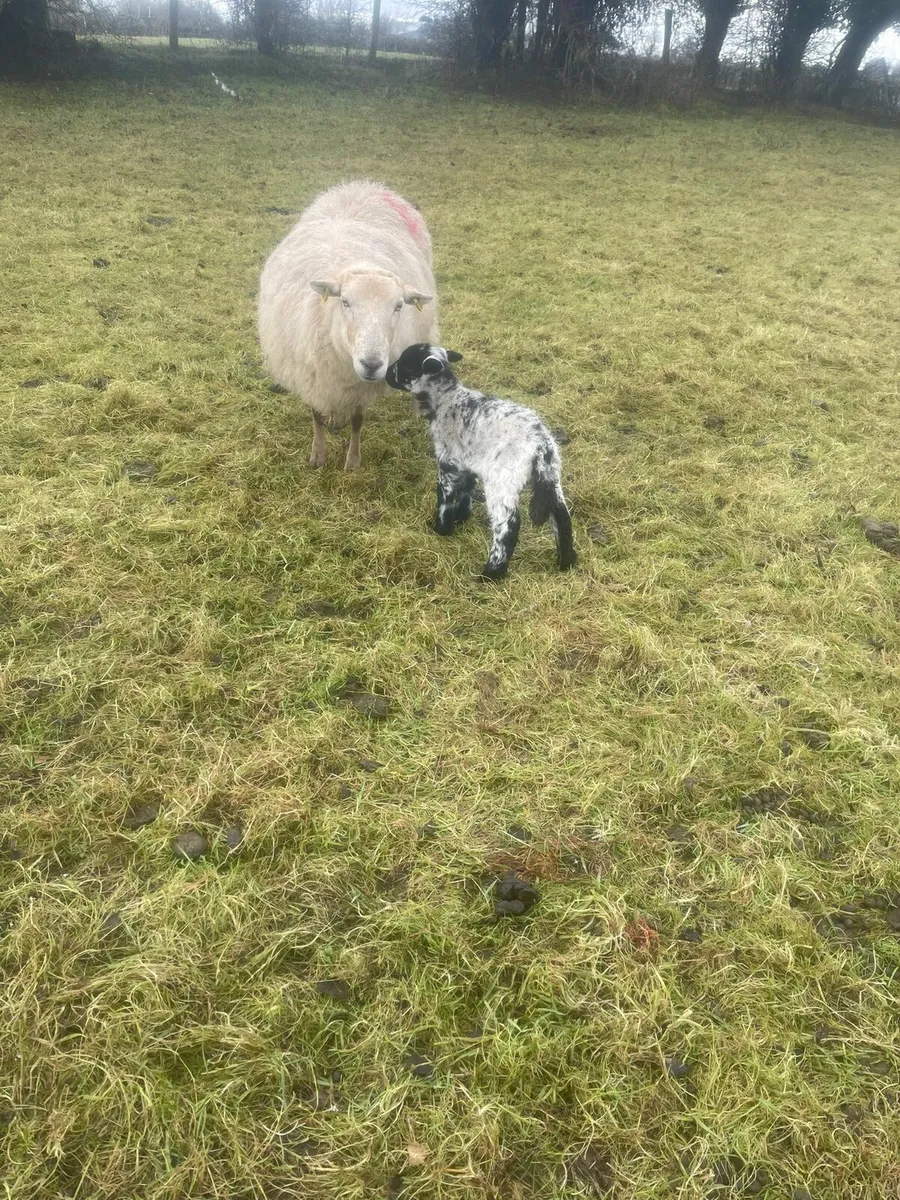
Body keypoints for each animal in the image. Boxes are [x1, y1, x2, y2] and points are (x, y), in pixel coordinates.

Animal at [258, 180, 439, 471]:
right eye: (345, 302)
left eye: (399, 306)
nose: (372, 363)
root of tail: (366, 186)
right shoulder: (311, 375)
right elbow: (316, 416)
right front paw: (318, 455)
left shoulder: (360, 388)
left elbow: (357, 421)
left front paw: (352, 462)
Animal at [385, 344, 577, 580]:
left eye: (407, 365)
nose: (386, 373)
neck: (445, 399)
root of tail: (540, 443)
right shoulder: (468, 460)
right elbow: (466, 489)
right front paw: (461, 518)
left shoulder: (448, 461)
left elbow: (445, 496)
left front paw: (442, 528)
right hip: (551, 475)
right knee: (562, 516)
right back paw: (566, 562)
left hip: (502, 480)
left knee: (508, 525)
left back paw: (491, 573)